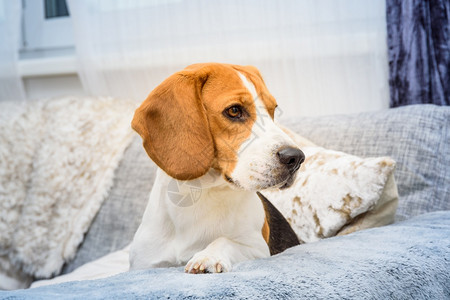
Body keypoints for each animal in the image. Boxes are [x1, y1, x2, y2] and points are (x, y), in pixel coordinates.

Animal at [130, 63, 306, 274]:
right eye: (234, 110)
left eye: (272, 111)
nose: (296, 158)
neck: (199, 196)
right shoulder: (143, 264)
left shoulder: (257, 247)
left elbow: (225, 240)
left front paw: (208, 256)